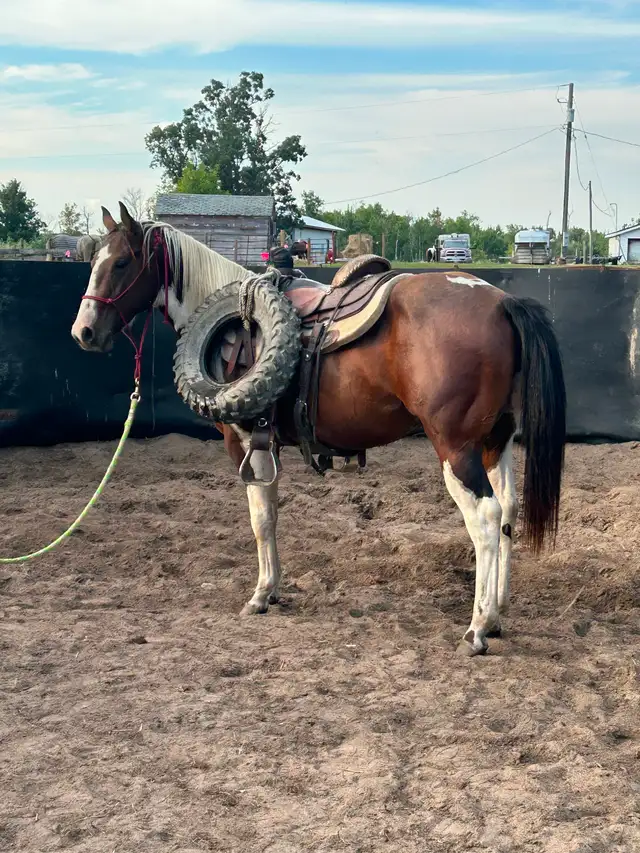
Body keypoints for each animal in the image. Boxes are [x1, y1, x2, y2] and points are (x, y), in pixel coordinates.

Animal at [71, 202, 566, 656]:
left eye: (121, 263)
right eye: (94, 261)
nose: (83, 332)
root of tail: (501, 302)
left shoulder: (243, 442)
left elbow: (260, 519)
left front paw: (261, 594)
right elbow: (271, 515)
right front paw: (272, 589)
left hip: (456, 448)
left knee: (485, 518)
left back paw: (478, 628)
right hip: (495, 442)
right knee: (508, 510)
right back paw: (497, 615)